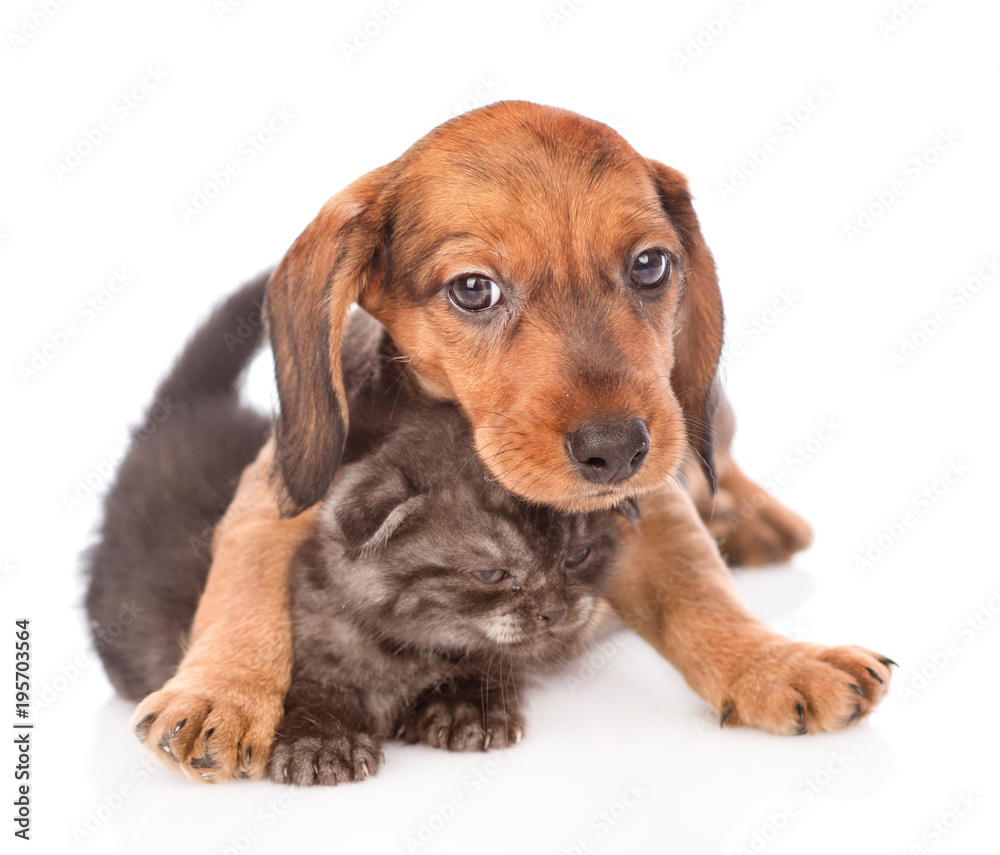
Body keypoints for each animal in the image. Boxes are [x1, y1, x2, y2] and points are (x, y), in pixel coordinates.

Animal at [270, 404, 620, 784]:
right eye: (491, 575)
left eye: (577, 557)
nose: (555, 612)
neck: (403, 650)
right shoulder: (313, 625)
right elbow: (319, 685)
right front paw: (322, 740)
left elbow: (483, 666)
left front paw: (465, 709)